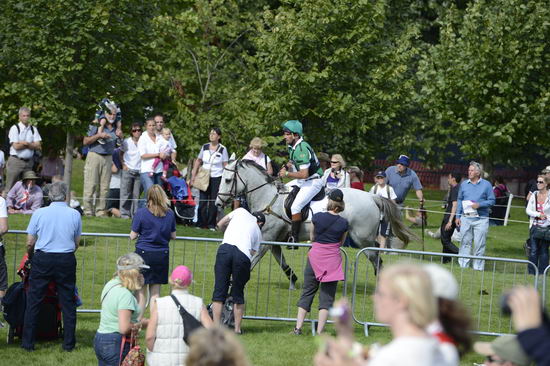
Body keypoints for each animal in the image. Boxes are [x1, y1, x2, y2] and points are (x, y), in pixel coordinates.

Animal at [218, 160, 416, 288]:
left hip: (362, 238)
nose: (219, 203)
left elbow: (252, 260)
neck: (269, 197)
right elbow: (281, 262)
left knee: (377, 259)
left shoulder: (266, 239)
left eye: (227, 180)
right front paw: (293, 280)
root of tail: (372, 197)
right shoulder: (274, 240)